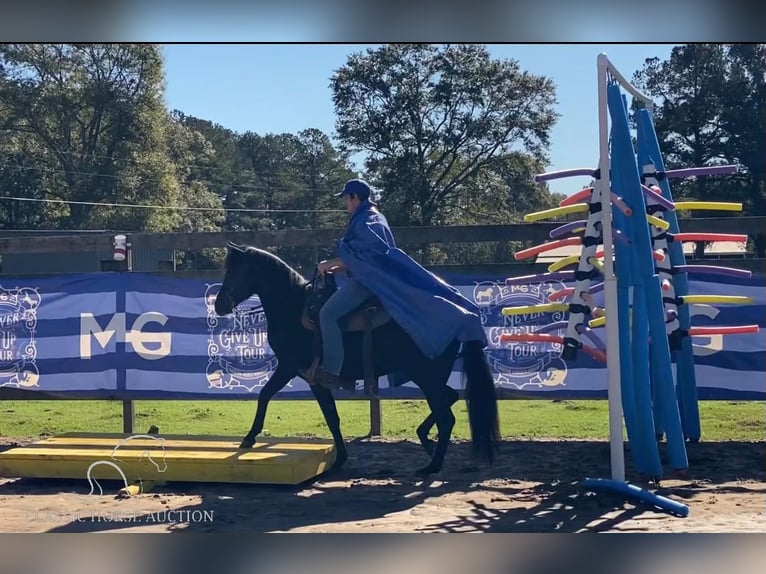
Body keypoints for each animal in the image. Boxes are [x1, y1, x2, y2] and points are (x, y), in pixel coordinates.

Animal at [213, 243, 500, 476]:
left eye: (238, 271)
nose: (219, 305)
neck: (293, 308)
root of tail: (462, 318)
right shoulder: (309, 376)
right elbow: (331, 416)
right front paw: (340, 458)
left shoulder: (295, 369)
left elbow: (268, 395)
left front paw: (249, 438)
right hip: (429, 376)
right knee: (449, 399)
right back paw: (425, 440)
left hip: (427, 376)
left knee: (446, 416)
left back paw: (432, 466)